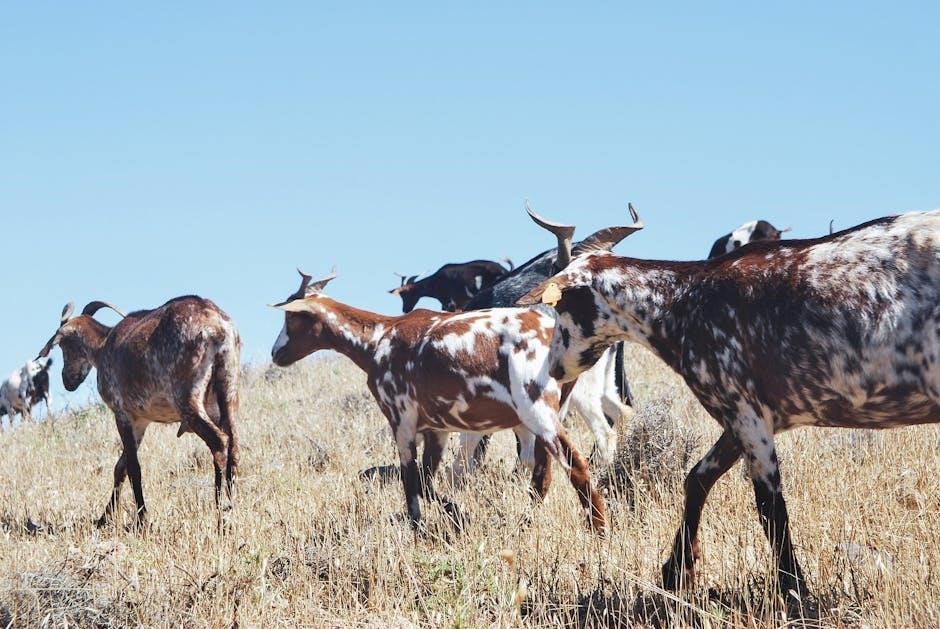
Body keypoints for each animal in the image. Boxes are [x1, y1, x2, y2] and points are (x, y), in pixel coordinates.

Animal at [37, 297, 241, 527]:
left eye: (65, 346)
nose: (67, 380)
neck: (103, 347)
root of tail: (217, 327)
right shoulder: (141, 421)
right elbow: (121, 467)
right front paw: (104, 518)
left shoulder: (122, 413)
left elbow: (134, 467)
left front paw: (142, 519)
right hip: (229, 389)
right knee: (234, 446)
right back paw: (231, 507)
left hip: (188, 398)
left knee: (219, 442)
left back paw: (220, 513)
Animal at [271, 269, 606, 533]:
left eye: (292, 315)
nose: (277, 353)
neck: (379, 339)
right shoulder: (437, 430)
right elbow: (426, 482)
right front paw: (457, 513)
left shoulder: (401, 422)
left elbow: (410, 484)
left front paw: (420, 528)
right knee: (543, 475)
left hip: (537, 411)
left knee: (576, 465)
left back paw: (599, 530)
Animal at [520, 208, 940, 611]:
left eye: (561, 308)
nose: (554, 368)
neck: (682, 300)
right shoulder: (745, 417)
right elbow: (697, 479)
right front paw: (677, 570)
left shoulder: (745, 413)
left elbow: (770, 507)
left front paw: (794, 590)